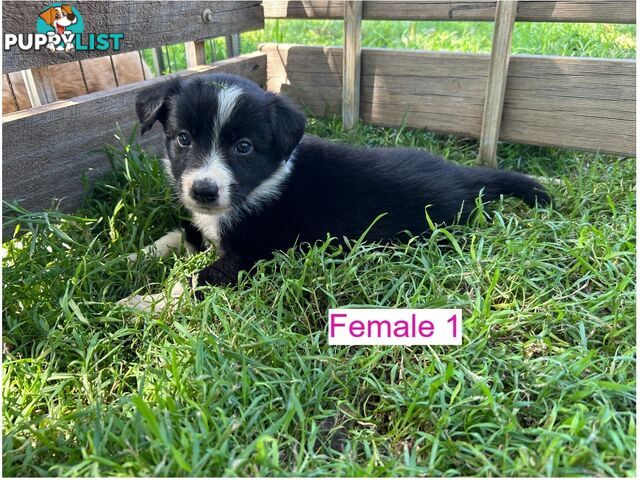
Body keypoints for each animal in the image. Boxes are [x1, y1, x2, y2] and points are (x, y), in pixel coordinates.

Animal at [129, 75, 552, 308]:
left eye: (244, 147)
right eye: (183, 139)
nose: (203, 191)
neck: (263, 185)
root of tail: (462, 176)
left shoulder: (255, 254)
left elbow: (198, 278)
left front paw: (143, 302)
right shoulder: (206, 227)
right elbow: (177, 234)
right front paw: (131, 258)